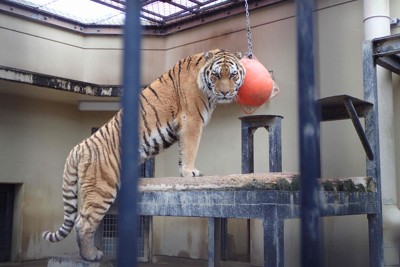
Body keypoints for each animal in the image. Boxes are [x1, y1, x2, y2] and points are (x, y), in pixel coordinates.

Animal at [42, 49, 245, 262]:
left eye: (232, 75)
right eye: (216, 76)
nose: (225, 93)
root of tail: (78, 147)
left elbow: (183, 152)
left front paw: (183, 172)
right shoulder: (191, 120)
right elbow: (190, 148)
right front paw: (191, 173)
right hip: (101, 189)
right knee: (83, 222)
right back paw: (91, 255)